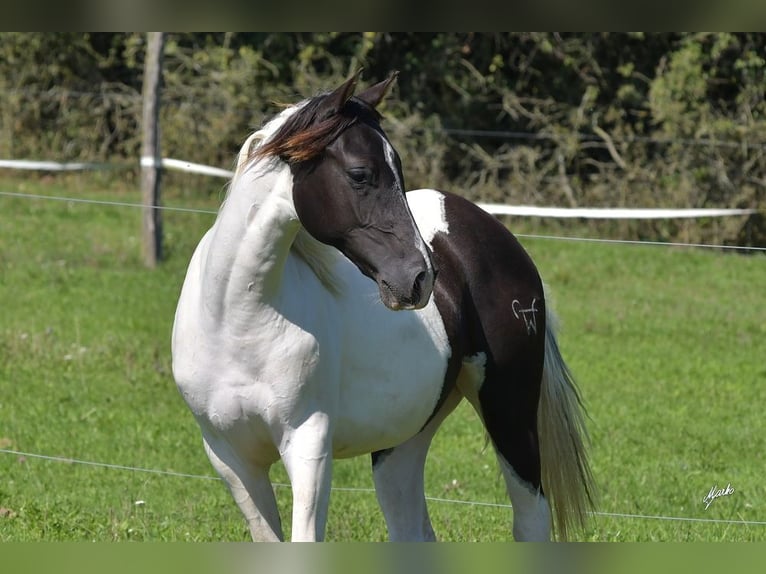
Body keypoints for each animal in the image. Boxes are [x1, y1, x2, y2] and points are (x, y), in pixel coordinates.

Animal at [171, 73, 596, 544]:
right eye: (360, 173)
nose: (420, 276)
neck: (237, 322)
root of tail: (492, 232)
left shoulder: (308, 444)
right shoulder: (230, 458)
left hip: (510, 413)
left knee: (530, 519)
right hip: (404, 440)